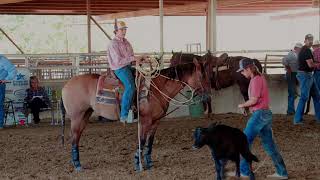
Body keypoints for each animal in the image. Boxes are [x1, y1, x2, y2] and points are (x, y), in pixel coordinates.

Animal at [61, 59, 211, 172]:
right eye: (202, 76)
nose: (209, 95)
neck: (157, 89)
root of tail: (66, 85)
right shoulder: (145, 121)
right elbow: (142, 141)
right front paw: (138, 165)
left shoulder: (155, 121)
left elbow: (150, 142)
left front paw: (149, 163)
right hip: (77, 117)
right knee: (74, 138)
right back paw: (77, 165)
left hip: (85, 115)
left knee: (77, 137)